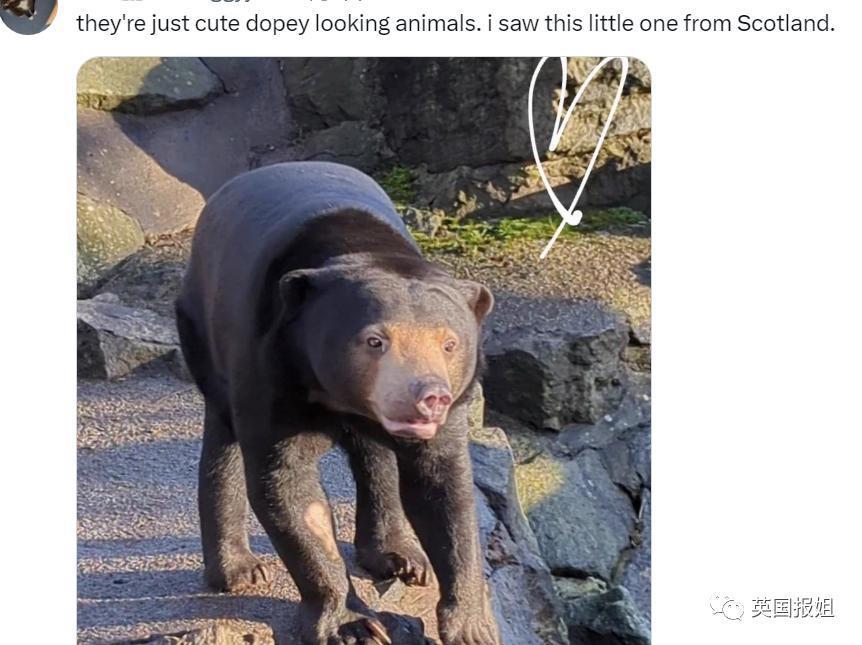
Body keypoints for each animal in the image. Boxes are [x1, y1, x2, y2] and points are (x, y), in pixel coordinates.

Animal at [175, 162, 501, 645]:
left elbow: (444, 490)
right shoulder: (272, 365)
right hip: (203, 328)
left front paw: (471, 627)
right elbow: (290, 490)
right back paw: (237, 570)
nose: (429, 397)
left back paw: (398, 556)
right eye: (375, 340)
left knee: (375, 457)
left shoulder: (453, 410)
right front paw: (354, 625)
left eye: (449, 343)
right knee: (224, 440)